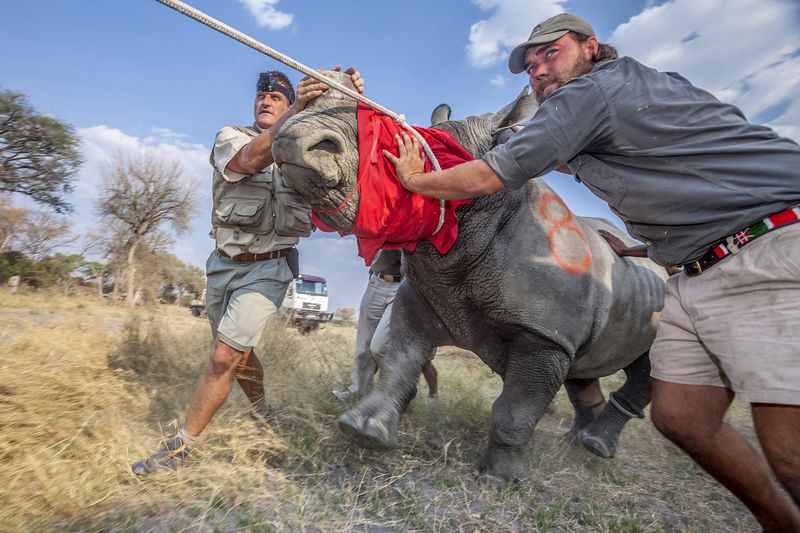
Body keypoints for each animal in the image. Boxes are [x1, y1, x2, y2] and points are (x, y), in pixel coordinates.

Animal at [272, 72, 667, 486]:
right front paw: (363, 432)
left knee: (647, 365)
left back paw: (595, 447)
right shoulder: (426, 297)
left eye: (428, 152)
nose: (292, 139)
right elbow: (399, 363)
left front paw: (500, 480)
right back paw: (575, 444)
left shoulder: (543, 335)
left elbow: (514, 411)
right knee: (584, 366)